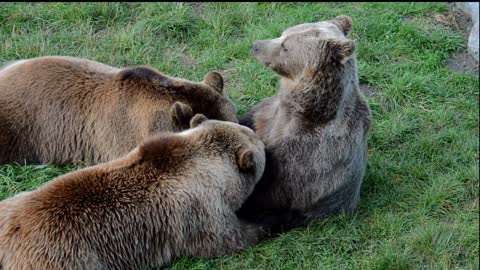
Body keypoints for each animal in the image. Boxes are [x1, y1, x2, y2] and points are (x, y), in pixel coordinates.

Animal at [0, 114, 266, 270]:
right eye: (259, 143)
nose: (261, 138)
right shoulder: (199, 210)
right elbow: (228, 239)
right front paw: (265, 222)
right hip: (65, 258)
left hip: (9, 205)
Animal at [238, 15, 374, 233]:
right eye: (283, 34)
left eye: (285, 46)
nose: (256, 45)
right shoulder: (269, 113)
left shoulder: (306, 152)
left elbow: (269, 185)